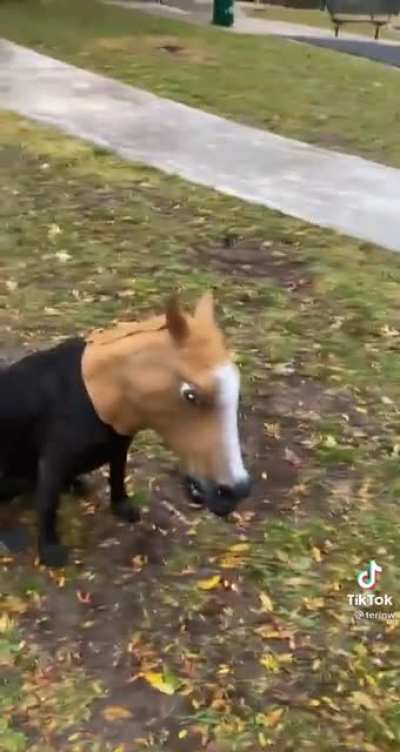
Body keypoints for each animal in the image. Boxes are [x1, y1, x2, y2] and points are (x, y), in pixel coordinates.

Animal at [0, 291, 251, 567]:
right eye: (190, 394)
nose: (236, 491)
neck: (95, 395)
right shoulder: (52, 461)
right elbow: (47, 504)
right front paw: (50, 550)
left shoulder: (121, 442)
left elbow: (117, 475)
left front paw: (122, 508)